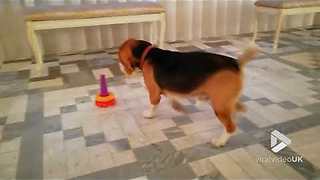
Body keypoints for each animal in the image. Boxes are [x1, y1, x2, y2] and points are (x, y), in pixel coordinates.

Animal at [118, 38, 258, 147]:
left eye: (120, 59)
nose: (119, 67)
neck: (147, 54)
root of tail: (236, 62)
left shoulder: (154, 92)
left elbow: (153, 104)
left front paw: (149, 114)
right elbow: (171, 99)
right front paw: (178, 107)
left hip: (219, 105)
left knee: (230, 127)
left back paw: (220, 141)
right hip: (225, 102)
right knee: (237, 110)